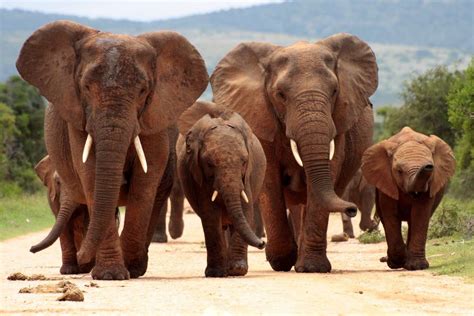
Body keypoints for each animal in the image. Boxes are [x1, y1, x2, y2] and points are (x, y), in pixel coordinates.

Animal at [16, 21, 207, 280]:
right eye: (86, 87)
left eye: (143, 91)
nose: (83, 256)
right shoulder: (78, 117)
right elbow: (90, 175)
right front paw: (110, 275)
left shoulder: (153, 117)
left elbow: (145, 181)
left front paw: (128, 269)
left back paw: (135, 266)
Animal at [178, 100, 266, 276]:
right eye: (209, 164)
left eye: (244, 162)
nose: (262, 243)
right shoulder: (198, 175)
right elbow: (210, 214)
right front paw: (216, 273)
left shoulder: (247, 177)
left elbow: (245, 208)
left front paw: (237, 270)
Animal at [211, 34, 378, 272]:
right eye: (280, 94)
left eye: (335, 91)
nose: (351, 209)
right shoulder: (261, 116)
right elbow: (269, 179)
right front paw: (281, 261)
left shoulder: (339, 123)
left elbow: (328, 171)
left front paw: (312, 268)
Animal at [362, 127, 456, 270]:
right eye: (399, 171)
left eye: (432, 168)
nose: (428, 166)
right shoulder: (387, 181)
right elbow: (390, 215)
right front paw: (396, 263)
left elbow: (420, 215)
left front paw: (417, 266)